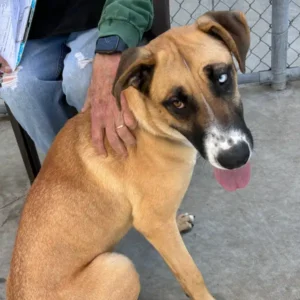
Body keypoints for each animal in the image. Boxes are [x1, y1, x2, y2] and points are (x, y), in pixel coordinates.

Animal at [7, 10, 253, 300]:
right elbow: (191, 273)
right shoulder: (153, 222)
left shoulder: (158, 220)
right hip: (120, 267)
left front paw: (179, 221)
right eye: (177, 103)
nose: (235, 157)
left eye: (223, 78)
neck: (148, 125)